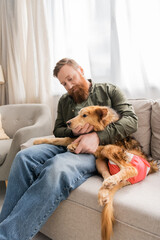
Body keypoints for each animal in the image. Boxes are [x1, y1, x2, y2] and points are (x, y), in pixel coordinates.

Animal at [33, 106, 158, 240]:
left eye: (84, 115)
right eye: (79, 114)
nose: (68, 123)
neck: (105, 124)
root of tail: (150, 168)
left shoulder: (97, 143)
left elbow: (70, 140)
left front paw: (73, 144)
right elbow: (62, 139)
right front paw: (38, 141)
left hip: (109, 149)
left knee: (129, 169)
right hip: (99, 161)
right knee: (106, 177)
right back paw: (105, 191)